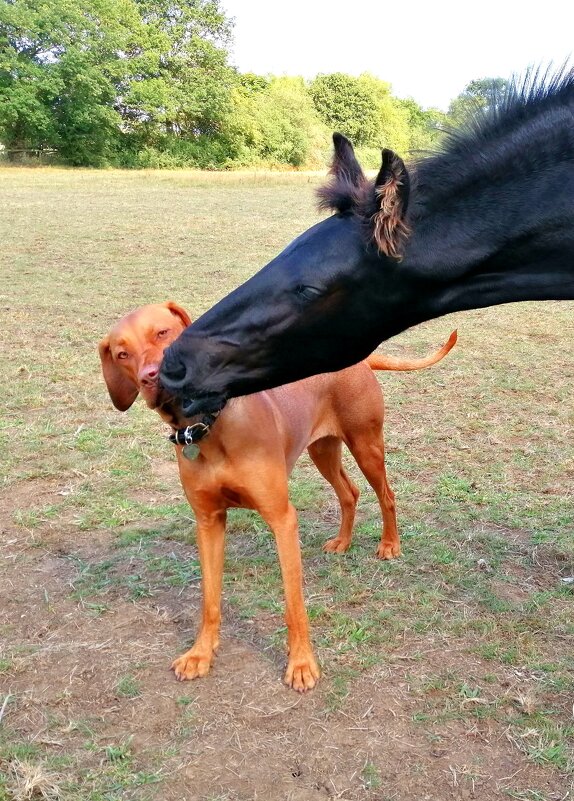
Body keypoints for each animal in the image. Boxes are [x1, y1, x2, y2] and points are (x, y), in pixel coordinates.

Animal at [100, 304, 460, 692]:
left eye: (163, 333)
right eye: (122, 354)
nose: (151, 377)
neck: (209, 426)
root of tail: (359, 362)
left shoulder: (282, 519)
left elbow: (293, 604)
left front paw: (301, 664)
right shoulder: (208, 522)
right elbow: (209, 599)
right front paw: (200, 654)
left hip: (366, 444)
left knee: (386, 494)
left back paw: (390, 544)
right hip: (322, 450)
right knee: (349, 492)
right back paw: (343, 542)